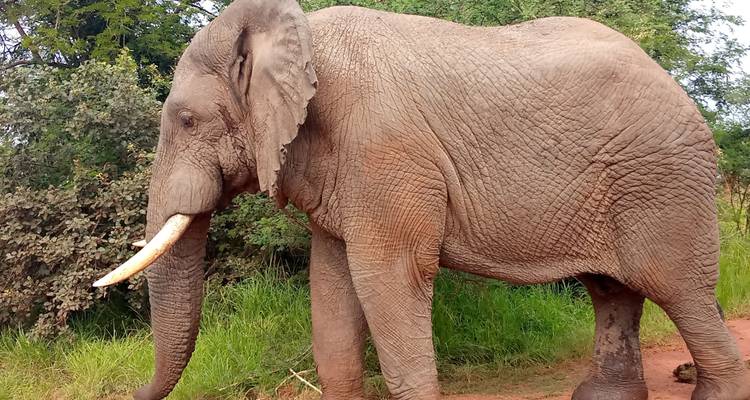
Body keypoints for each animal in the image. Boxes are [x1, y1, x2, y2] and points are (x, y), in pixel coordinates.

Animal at [94, 0, 750, 399]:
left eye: (185, 119)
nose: (131, 392)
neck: (295, 33)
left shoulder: (386, 151)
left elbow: (389, 275)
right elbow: (332, 282)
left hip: (662, 177)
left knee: (676, 288)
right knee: (612, 290)